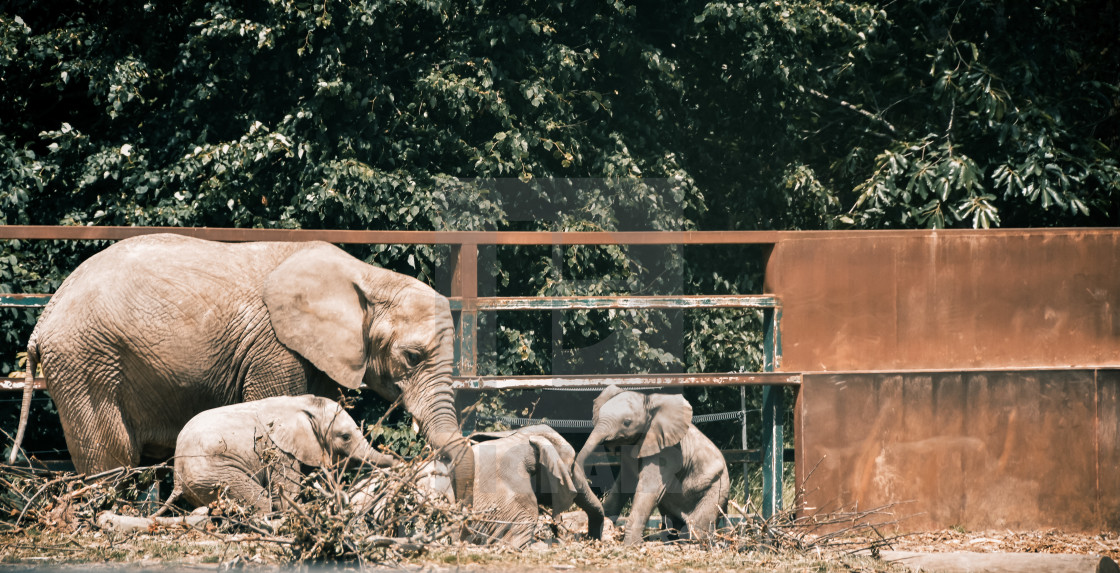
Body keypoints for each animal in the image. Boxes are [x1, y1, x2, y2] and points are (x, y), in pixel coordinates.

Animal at [9, 232, 472, 501]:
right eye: (411, 357)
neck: (369, 278)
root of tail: (43, 319)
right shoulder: (275, 347)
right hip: (86, 360)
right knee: (113, 458)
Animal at [157, 393, 394, 514]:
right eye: (345, 436)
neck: (303, 404)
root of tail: (177, 479)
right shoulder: (279, 450)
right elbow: (288, 493)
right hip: (216, 474)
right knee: (260, 501)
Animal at [573, 387, 730, 543]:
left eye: (627, 422)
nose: (588, 480)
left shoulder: (668, 452)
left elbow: (649, 489)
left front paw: (630, 545)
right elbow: (623, 485)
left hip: (716, 489)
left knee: (697, 525)